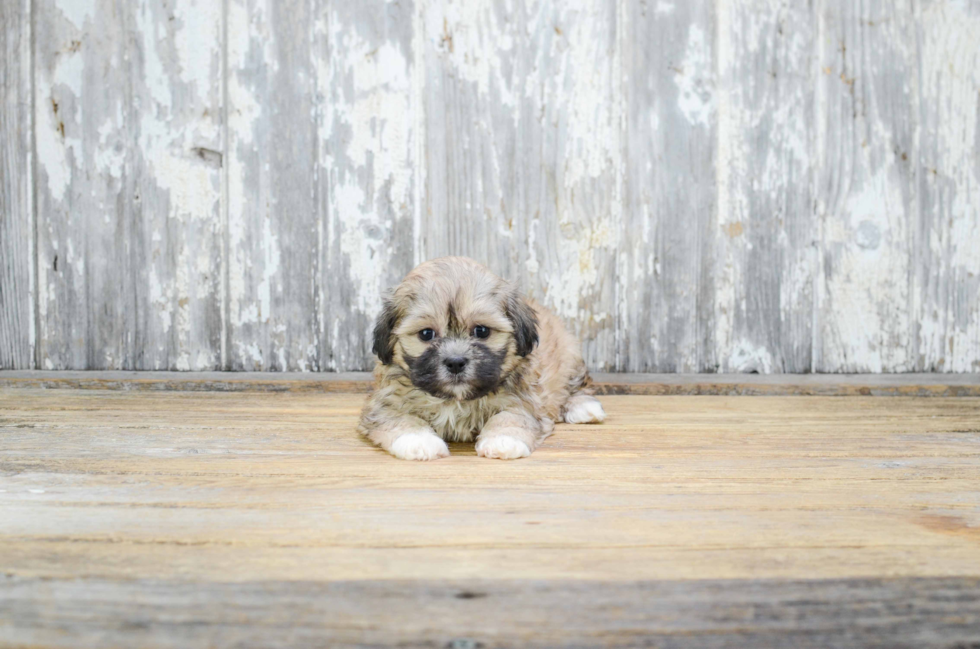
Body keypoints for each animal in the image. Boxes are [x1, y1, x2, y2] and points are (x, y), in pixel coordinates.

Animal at [360, 256, 604, 458]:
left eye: (482, 331)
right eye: (426, 334)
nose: (455, 362)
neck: (455, 400)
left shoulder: (523, 399)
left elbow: (511, 416)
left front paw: (503, 440)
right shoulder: (385, 402)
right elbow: (398, 419)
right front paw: (419, 441)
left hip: (570, 354)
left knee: (578, 385)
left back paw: (583, 407)